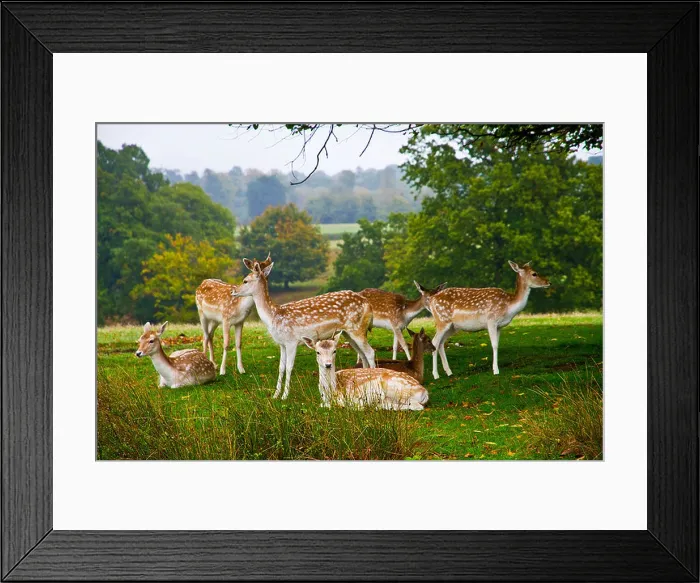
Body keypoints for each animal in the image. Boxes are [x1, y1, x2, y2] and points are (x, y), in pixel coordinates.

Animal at [232, 261, 376, 400]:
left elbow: (289, 367)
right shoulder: (282, 343)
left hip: (357, 328)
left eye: (245, 281)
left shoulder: (291, 341)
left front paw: (285, 396)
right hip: (348, 333)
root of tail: (368, 305)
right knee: (362, 354)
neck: (273, 317)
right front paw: (275, 395)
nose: (233, 291)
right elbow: (281, 368)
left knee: (370, 352)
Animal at [416, 261, 550, 379]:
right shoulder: (491, 320)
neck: (508, 306)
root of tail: (432, 300)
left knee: (441, 343)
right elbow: (494, 345)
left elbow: (498, 344)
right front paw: (496, 370)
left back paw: (449, 372)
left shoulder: (499, 326)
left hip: (452, 327)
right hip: (442, 320)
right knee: (435, 341)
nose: (548, 282)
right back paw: (436, 375)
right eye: (534, 273)